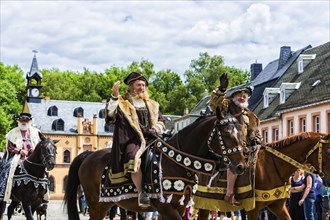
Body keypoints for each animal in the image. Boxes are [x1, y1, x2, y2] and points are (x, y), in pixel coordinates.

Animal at [63, 110, 246, 220]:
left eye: (242, 133)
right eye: (227, 134)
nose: (240, 166)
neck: (177, 161)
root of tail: (88, 155)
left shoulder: (179, 207)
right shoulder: (165, 207)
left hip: (105, 203)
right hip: (96, 204)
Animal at [196, 132, 330, 220]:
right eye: (328, 151)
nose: (328, 180)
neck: (273, 165)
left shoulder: (278, 206)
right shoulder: (253, 209)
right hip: (204, 202)